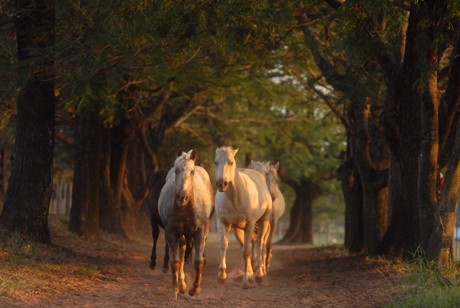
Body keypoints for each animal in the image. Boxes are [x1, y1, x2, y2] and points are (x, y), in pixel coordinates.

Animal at [157, 149, 215, 298]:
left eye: (192, 171)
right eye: (176, 170)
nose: (182, 197)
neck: (185, 209)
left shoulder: (199, 232)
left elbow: (198, 260)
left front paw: (194, 289)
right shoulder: (171, 233)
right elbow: (175, 262)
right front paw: (176, 290)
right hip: (182, 234)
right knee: (182, 252)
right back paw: (182, 284)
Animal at [214, 147, 272, 288]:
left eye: (230, 162)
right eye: (215, 162)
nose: (222, 184)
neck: (235, 196)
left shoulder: (250, 223)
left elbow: (247, 250)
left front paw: (245, 281)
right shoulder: (222, 222)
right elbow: (224, 245)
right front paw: (222, 276)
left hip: (264, 222)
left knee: (259, 244)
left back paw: (259, 275)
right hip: (238, 229)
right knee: (246, 246)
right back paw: (251, 274)